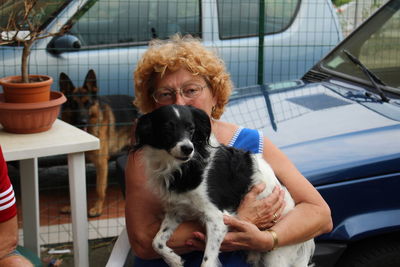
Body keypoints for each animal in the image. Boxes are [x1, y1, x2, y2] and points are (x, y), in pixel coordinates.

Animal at [59, 69, 139, 218]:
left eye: (87, 103)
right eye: (73, 105)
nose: (82, 122)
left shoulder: (101, 163)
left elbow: (99, 189)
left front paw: (97, 208)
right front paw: (72, 206)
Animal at [134, 105, 316, 267]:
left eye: (191, 128)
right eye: (167, 127)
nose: (187, 148)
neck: (181, 167)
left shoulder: (217, 219)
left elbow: (207, 262)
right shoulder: (177, 211)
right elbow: (156, 242)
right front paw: (174, 260)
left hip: (275, 256)